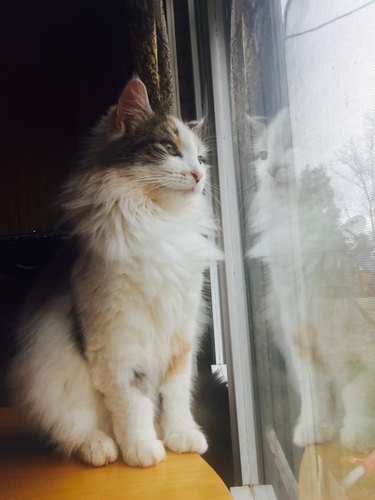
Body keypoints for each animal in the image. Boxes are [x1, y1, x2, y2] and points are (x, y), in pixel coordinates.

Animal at [8, 76, 223, 466]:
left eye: (200, 158)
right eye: (169, 148)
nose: (199, 174)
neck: (159, 221)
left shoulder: (181, 336)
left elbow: (176, 394)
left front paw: (181, 437)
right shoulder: (117, 340)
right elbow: (132, 401)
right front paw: (143, 450)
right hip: (49, 379)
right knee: (71, 429)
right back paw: (100, 447)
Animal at [248, 109, 375, 454]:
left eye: (292, 145)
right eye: (262, 155)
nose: (271, 169)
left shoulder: (357, 338)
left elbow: (358, 390)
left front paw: (358, 438)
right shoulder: (301, 331)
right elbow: (315, 392)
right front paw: (315, 431)